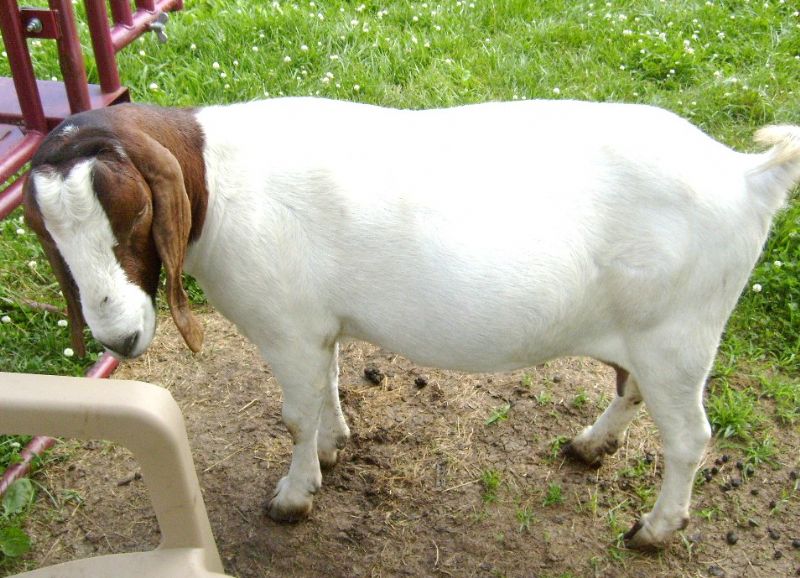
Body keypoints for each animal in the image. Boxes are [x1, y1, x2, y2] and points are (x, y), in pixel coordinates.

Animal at [23, 98, 800, 548]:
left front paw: (294, 497)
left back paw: (655, 529)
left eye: (135, 216)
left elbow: (296, 413)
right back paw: (589, 446)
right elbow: (329, 386)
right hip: (646, 330)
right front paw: (336, 446)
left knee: (690, 436)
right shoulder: (317, 324)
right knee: (631, 387)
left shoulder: (286, 326)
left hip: (678, 333)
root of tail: (747, 175)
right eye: (46, 233)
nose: (118, 337)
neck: (219, 182)